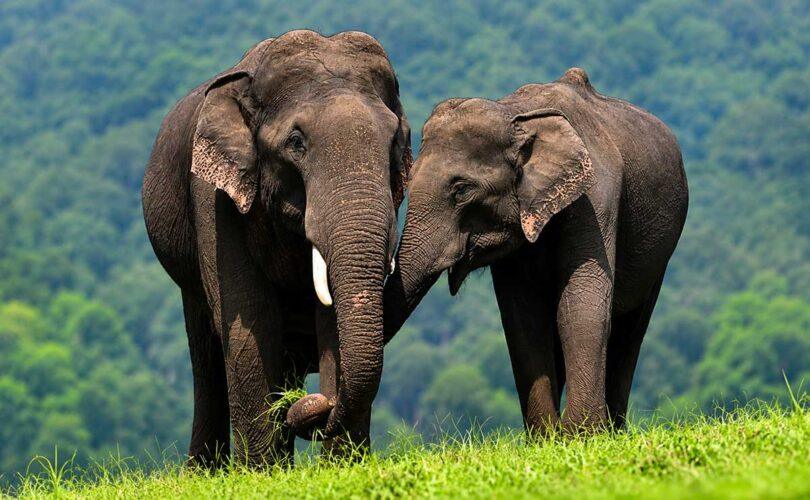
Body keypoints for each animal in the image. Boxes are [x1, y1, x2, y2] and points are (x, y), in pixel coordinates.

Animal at [142, 30, 411, 467]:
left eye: (393, 143)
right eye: (296, 142)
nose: (316, 404)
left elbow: (328, 320)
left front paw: (343, 466)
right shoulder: (214, 197)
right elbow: (250, 317)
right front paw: (259, 473)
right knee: (206, 359)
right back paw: (206, 471)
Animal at [384, 68, 688, 434]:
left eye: (462, 190)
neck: (517, 115)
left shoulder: (595, 196)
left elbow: (579, 302)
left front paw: (581, 434)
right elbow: (523, 316)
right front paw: (547, 437)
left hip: (660, 252)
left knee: (631, 331)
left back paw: (614, 429)